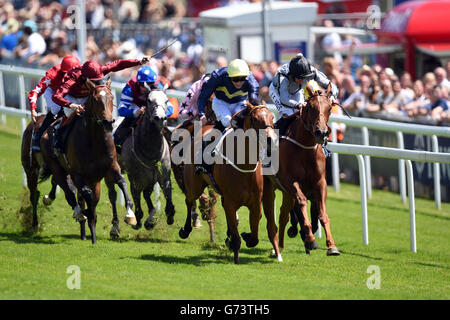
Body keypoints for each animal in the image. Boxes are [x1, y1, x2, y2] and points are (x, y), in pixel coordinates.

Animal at [39, 77, 135, 242]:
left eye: (111, 97)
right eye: (96, 99)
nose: (108, 122)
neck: (94, 140)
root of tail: (47, 130)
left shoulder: (111, 167)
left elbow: (122, 182)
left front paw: (130, 215)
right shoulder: (78, 174)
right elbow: (85, 197)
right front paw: (86, 214)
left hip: (94, 181)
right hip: (57, 168)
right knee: (68, 191)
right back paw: (76, 212)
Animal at [109, 89, 176, 236]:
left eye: (166, 101)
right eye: (149, 101)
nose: (160, 118)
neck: (149, 149)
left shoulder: (162, 174)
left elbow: (167, 192)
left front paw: (167, 215)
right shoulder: (135, 177)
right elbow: (135, 195)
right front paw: (136, 219)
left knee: (146, 194)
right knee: (112, 196)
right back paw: (115, 228)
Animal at [178, 103, 278, 264]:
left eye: (272, 117)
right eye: (255, 119)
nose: (272, 140)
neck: (245, 166)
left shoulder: (255, 203)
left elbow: (255, 235)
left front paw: (246, 236)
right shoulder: (231, 202)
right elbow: (237, 237)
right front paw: (235, 254)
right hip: (195, 186)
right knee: (189, 201)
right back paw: (185, 230)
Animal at [262, 81, 340, 256]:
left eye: (329, 108)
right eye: (310, 107)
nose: (321, 133)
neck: (305, 148)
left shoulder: (320, 182)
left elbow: (322, 214)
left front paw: (331, 246)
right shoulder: (291, 181)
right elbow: (302, 202)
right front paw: (310, 239)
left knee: (284, 213)